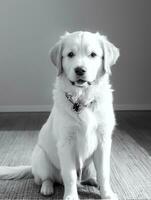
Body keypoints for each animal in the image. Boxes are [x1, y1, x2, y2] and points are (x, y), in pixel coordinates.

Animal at [0, 31, 120, 200]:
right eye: (70, 54)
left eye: (93, 54)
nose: (80, 70)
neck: (82, 100)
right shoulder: (66, 143)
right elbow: (69, 175)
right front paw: (71, 196)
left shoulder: (103, 141)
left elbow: (104, 172)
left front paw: (107, 193)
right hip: (41, 156)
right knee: (46, 179)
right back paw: (47, 188)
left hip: (88, 165)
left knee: (87, 176)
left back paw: (93, 180)